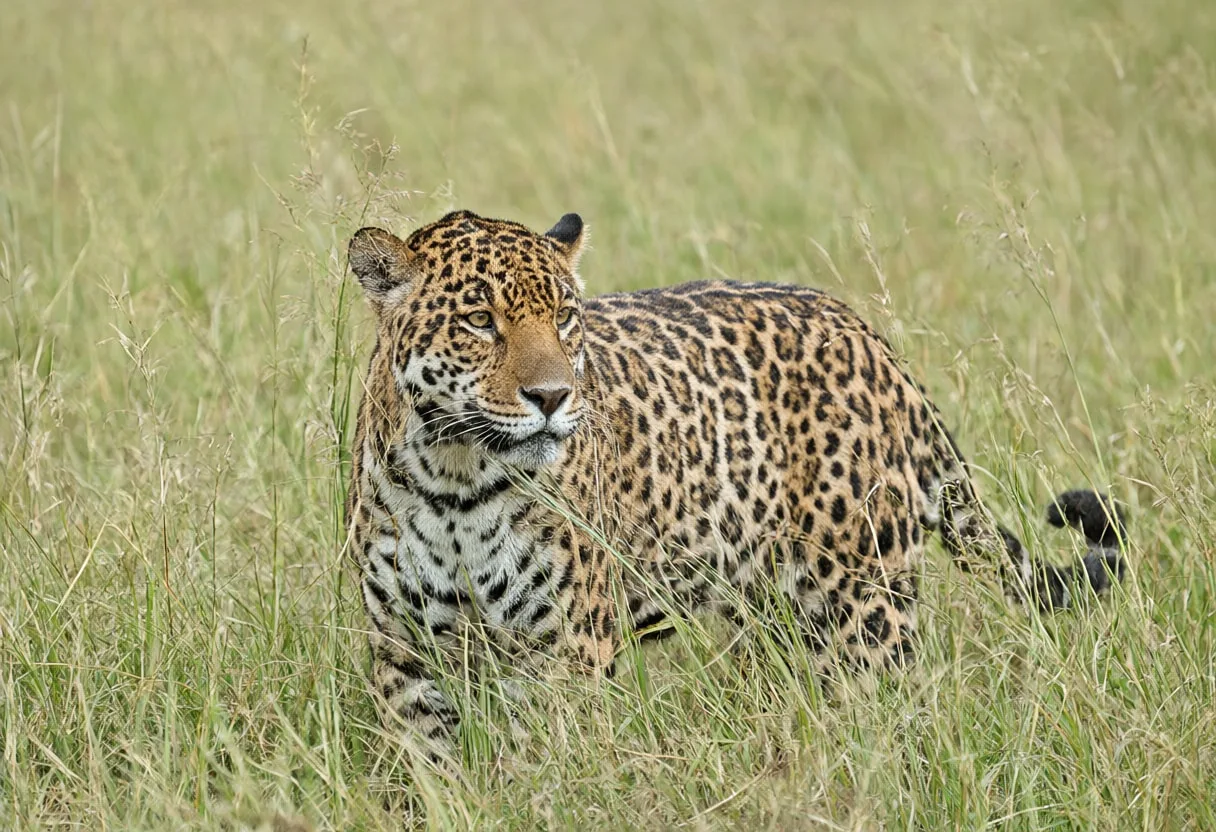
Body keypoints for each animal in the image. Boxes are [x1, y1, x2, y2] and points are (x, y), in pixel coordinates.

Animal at [343, 209, 1127, 757]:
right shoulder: (405, 659)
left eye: (565, 318)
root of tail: (870, 337)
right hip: (773, 612)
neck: (456, 482)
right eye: (480, 320)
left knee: (896, 711)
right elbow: (432, 777)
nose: (553, 396)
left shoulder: (567, 654)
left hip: (868, 607)